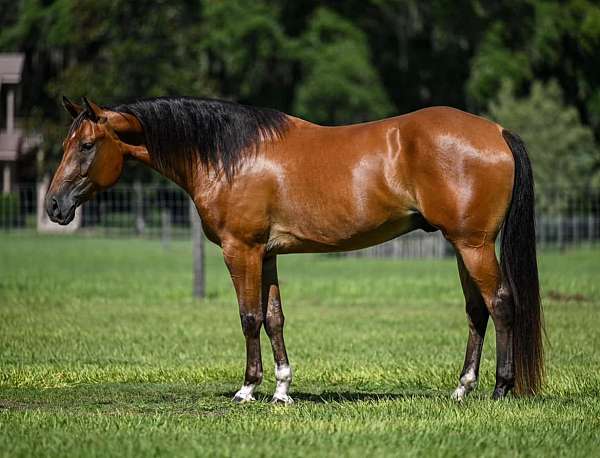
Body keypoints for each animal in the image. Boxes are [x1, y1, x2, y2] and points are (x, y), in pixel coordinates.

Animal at [47, 95, 544, 404]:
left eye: (87, 145)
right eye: (66, 143)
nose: (54, 206)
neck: (231, 155)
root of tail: (497, 131)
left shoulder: (241, 251)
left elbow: (249, 318)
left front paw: (248, 389)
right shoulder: (266, 254)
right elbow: (274, 318)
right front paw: (282, 390)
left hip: (473, 244)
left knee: (501, 304)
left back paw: (501, 389)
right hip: (461, 245)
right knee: (477, 312)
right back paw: (463, 388)